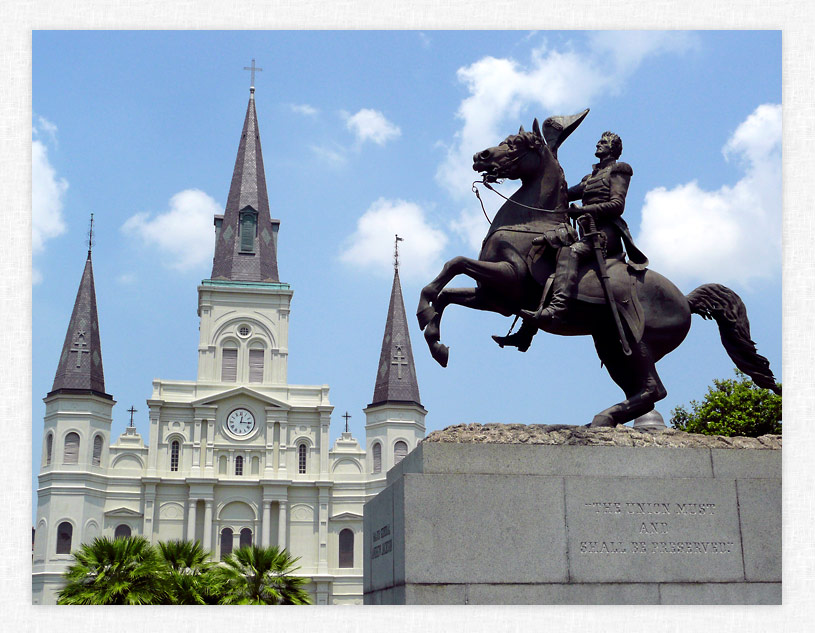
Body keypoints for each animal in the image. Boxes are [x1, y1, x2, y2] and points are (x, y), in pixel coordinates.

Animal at [418, 115, 780, 430]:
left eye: (517, 143)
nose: (480, 156)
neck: (530, 222)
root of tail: (685, 300)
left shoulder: (508, 278)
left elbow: (455, 263)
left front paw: (424, 315)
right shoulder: (494, 297)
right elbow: (448, 292)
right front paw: (435, 341)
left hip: (639, 344)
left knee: (654, 389)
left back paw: (603, 416)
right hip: (611, 345)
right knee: (644, 392)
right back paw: (603, 419)